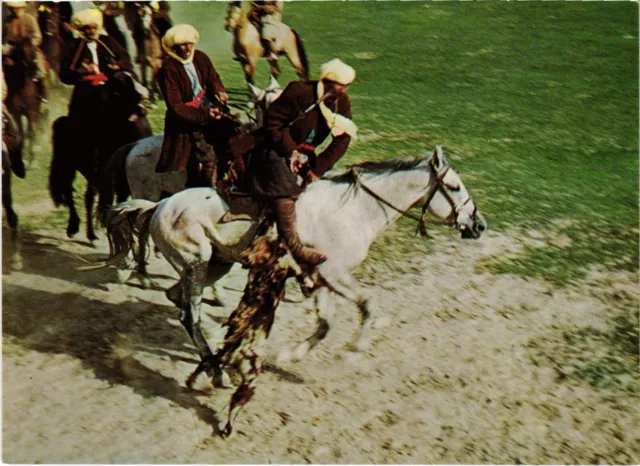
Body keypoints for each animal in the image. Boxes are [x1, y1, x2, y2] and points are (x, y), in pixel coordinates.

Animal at [49, 72, 152, 244]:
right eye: (120, 86)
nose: (144, 93)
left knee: (86, 196)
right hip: (68, 167)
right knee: (72, 193)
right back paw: (77, 228)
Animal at [104, 144, 484, 366]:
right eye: (453, 187)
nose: (478, 225)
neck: (355, 208)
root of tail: (159, 206)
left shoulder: (324, 280)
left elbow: (326, 324)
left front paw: (290, 354)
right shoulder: (333, 274)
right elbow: (368, 305)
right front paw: (358, 347)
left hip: (215, 263)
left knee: (176, 297)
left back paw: (213, 333)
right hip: (196, 262)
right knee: (188, 311)